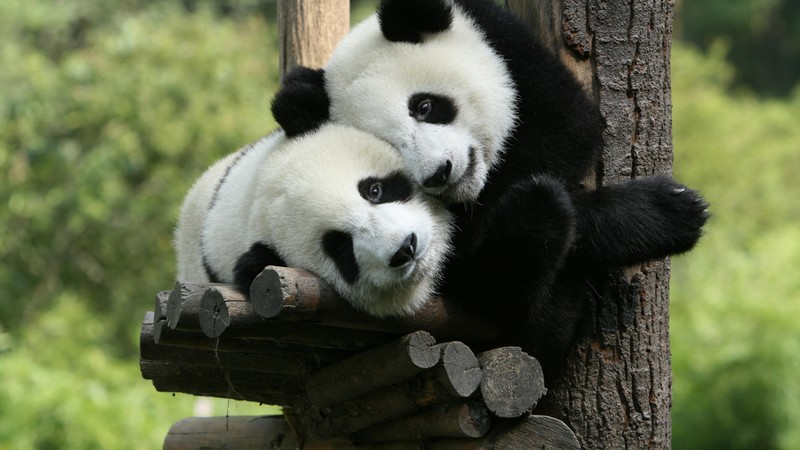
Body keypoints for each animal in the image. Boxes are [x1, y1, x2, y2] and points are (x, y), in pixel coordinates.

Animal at [271, 0, 708, 376]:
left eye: (424, 106)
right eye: (390, 147)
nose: (439, 173)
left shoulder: (511, 51)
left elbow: (568, 129)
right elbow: (476, 263)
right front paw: (667, 212)